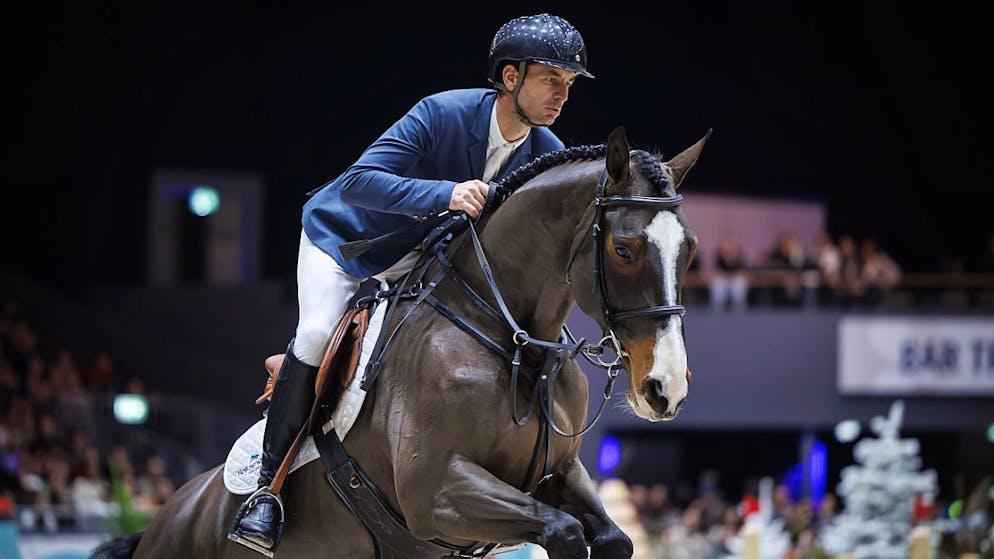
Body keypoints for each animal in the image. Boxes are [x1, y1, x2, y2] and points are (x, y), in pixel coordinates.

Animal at [99, 127, 704, 559]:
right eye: (624, 250)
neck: (513, 343)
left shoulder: (562, 473)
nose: (665, 389)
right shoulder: (435, 493)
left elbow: (611, 537)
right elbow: (564, 532)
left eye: (690, 250)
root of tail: (166, 517)